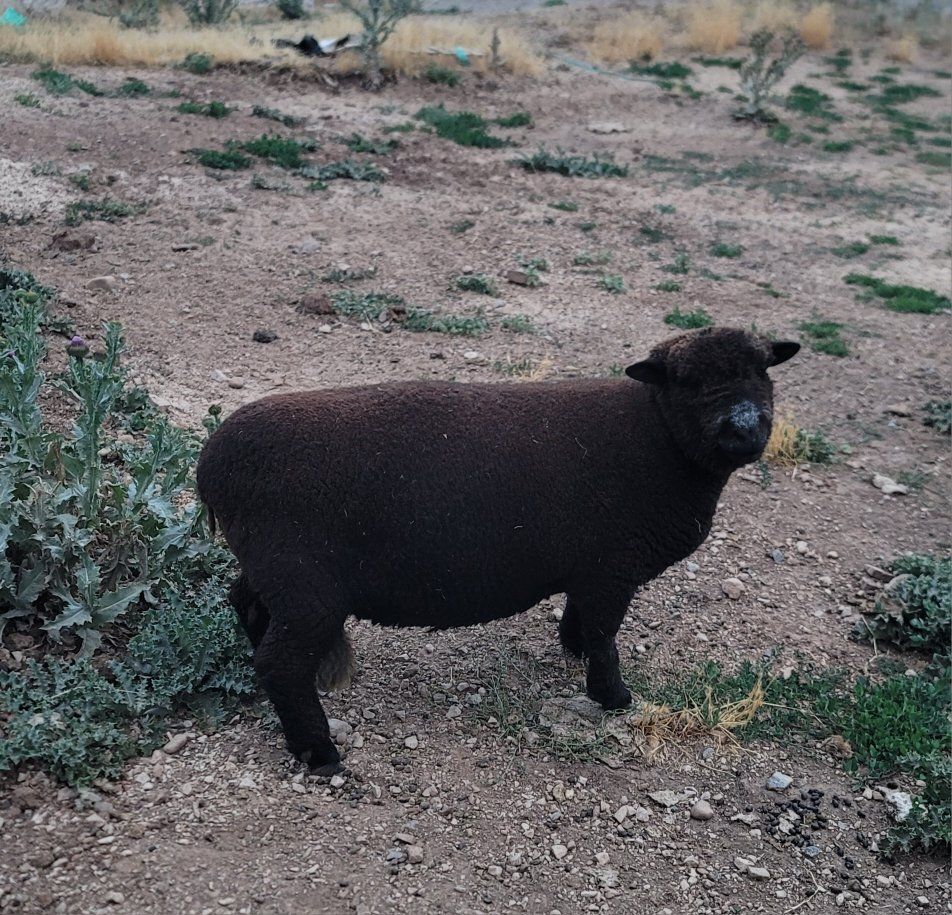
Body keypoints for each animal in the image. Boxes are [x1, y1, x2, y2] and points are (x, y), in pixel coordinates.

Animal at [197, 327, 799, 773]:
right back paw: (319, 752)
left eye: (763, 371)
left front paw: (573, 650)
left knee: (244, 604)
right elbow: (606, 636)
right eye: (687, 380)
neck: (658, 434)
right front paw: (613, 698)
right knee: (280, 663)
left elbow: (584, 621)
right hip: (304, 584)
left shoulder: (591, 567)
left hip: (271, 569)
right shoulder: (612, 565)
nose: (745, 428)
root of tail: (209, 464)